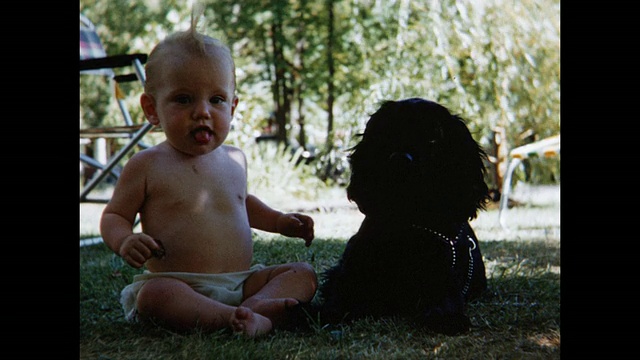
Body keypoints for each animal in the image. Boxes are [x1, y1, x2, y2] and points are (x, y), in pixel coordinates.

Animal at [310, 97, 490, 334]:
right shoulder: (353, 274)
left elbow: (445, 300)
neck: (407, 220)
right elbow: (337, 300)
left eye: (433, 138)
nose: (400, 160)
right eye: (386, 133)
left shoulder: (442, 275)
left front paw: (448, 319)